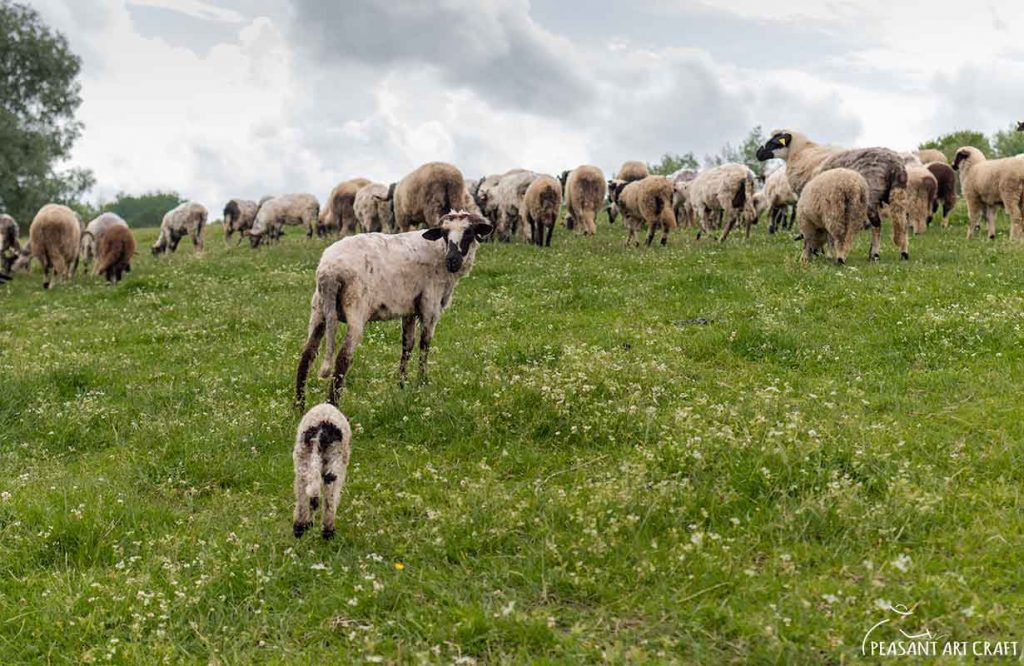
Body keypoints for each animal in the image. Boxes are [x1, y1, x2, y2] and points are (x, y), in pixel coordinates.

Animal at [292, 399, 352, 540]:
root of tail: (321, 429)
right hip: (335, 458)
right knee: (328, 495)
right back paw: (325, 531)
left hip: (304, 457)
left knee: (307, 494)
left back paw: (303, 528)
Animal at [294, 210, 493, 407]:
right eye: (444, 233)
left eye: (469, 232)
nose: (452, 261)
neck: (439, 251)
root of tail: (329, 271)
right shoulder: (430, 305)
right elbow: (424, 344)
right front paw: (422, 381)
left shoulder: (409, 309)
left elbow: (407, 344)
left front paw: (402, 384)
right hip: (355, 310)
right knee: (343, 358)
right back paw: (332, 404)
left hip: (319, 310)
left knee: (306, 355)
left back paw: (299, 405)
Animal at [753, 131, 913, 260]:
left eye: (773, 143)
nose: (758, 154)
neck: (802, 156)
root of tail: (895, 165)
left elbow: (825, 229)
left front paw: (823, 253)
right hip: (896, 193)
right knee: (902, 221)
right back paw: (903, 253)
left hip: (870, 197)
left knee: (877, 224)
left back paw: (874, 254)